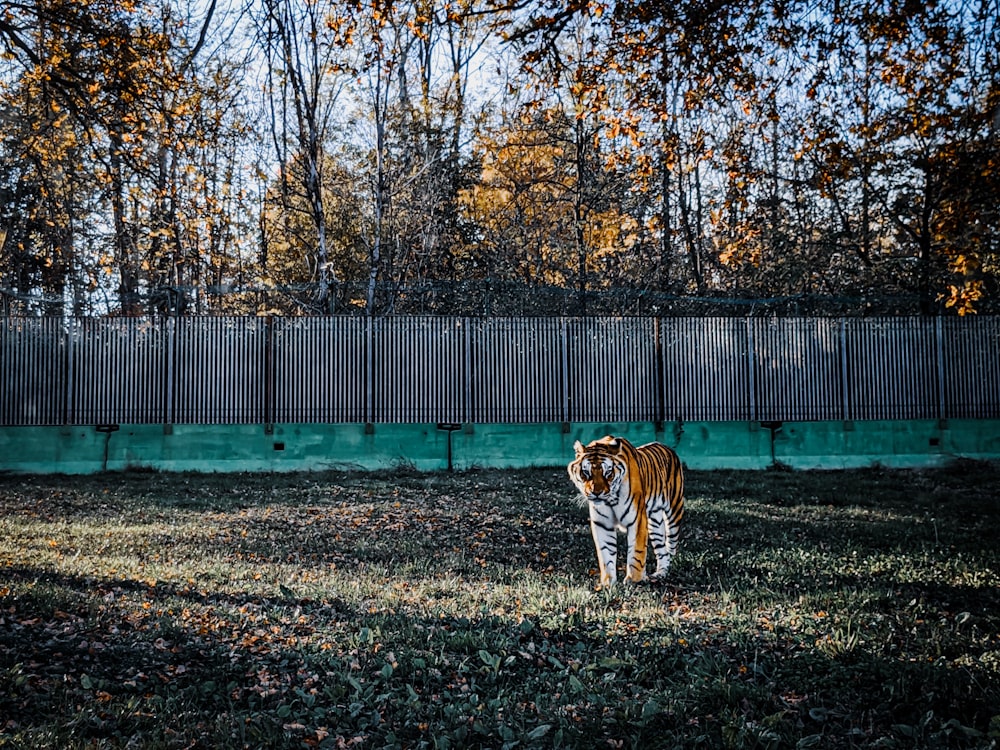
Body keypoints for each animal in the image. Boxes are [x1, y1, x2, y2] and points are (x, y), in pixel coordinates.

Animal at [568, 438, 684, 592]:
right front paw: (607, 583)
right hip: (655, 523)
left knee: (671, 545)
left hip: (674, 512)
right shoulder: (602, 524)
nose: (597, 493)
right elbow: (605, 554)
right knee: (662, 550)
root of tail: (666, 446)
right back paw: (660, 573)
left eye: (608, 473)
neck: (611, 500)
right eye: (585, 473)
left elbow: (636, 553)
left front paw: (633, 580)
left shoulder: (637, 520)